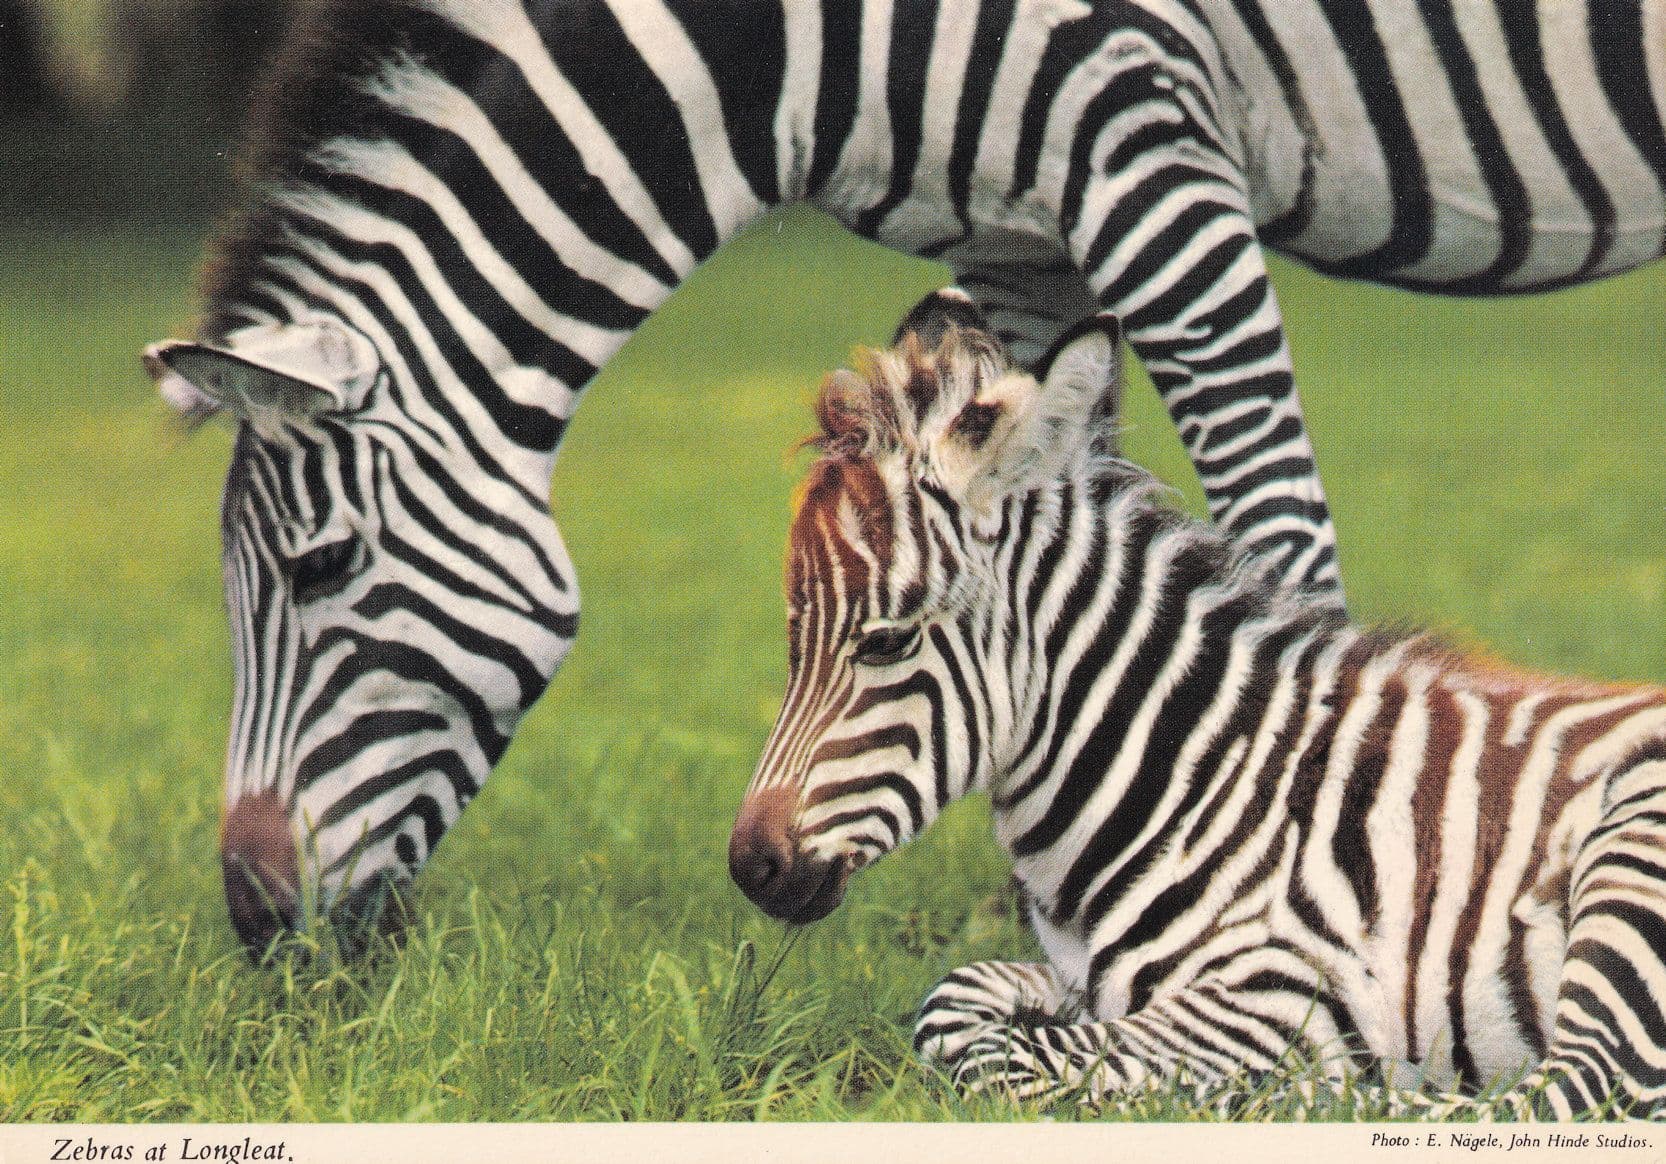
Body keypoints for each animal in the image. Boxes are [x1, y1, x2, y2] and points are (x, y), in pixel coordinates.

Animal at [145, 0, 1665, 952]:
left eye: (322, 567)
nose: (255, 926)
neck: (791, 51)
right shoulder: (1017, 229)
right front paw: (1056, 895)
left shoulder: (1145, 146)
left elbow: (1277, 535)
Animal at [727, 293, 1666, 1118]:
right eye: (791, 642)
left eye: (886, 643)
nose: (750, 869)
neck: (1190, 786)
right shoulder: (1076, 973)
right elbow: (959, 997)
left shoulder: (1272, 988)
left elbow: (1021, 1051)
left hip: (1631, 855)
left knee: (1569, 1092)